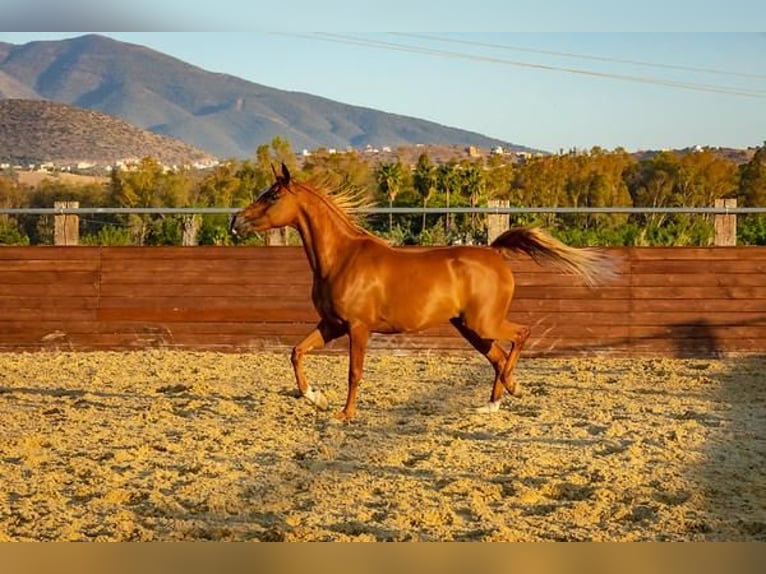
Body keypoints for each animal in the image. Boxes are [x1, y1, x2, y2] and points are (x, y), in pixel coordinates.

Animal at [230, 163, 618, 421]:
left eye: (272, 195)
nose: (236, 222)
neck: (341, 257)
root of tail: (495, 253)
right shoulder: (331, 325)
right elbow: (296, 353)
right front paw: (316, 397)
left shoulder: (357, 328)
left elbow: (354, 373)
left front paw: (345, 413)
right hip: (468, 327)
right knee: (495, 356)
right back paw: (492, 402)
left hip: (484, 322)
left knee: (520, 335)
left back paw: (512, 386)